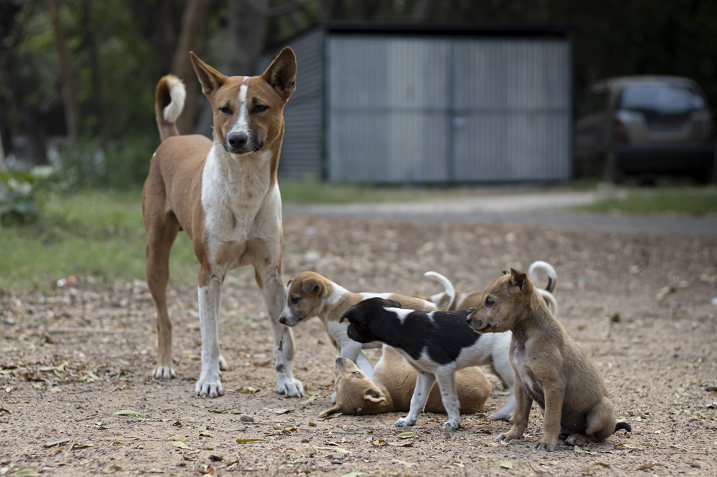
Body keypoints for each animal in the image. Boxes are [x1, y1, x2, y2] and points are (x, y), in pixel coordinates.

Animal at [144, 48, 304, 398]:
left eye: (260, 107)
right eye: (224, 109)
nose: (237, 139)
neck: (244, 187)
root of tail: (172, 138)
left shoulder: (270, 274)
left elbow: (282, 338)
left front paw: (286, 380)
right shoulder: (208, 273)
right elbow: (208, 336)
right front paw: (208, 380)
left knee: (213, 318)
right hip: (156, 258)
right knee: (165, 318)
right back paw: (165, 364)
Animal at [320, 342, 492, 416]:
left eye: (337, 382)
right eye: (357, 373)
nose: (338, 359)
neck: (390, 399)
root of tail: (485, 392)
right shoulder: (388, 359)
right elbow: (388, 346)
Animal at [342, 298, 516, 428]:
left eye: (352, 323)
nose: (347, 332)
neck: (400, 325)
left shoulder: (444, 369)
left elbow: (448, 399)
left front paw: (454, 423)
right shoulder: (426, 373)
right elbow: (416, 399)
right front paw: (408, 421)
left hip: (503, 362)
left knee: (515, 391)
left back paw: (503, 414)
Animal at [464, 268, 628, 450]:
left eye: (490, 302)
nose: (467, 320)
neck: (524, 337)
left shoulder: (553, 386)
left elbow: (551, 420)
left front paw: (547, 442)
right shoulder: (520, 383)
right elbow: (520, 414)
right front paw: (512, 435)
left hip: (601, 410)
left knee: (597, 437)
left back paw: (578, 438)